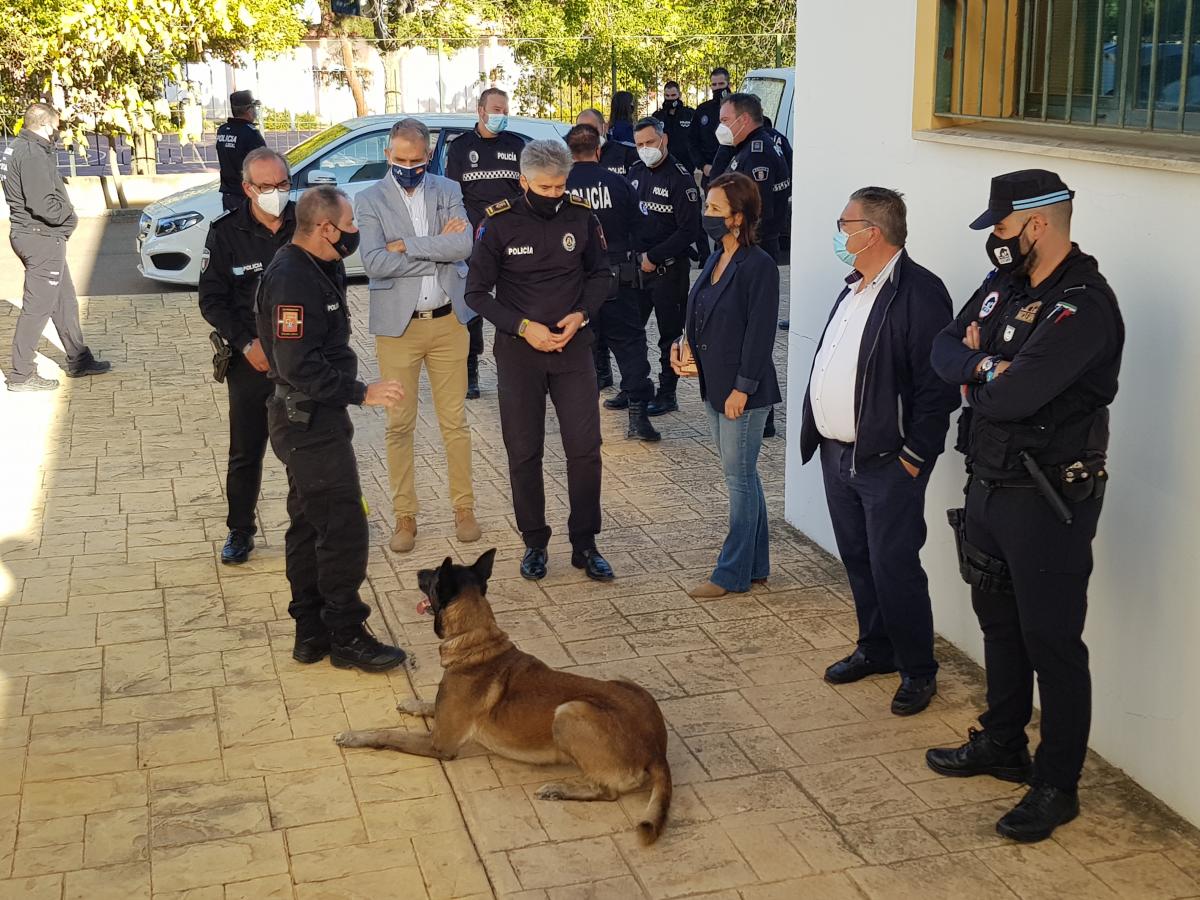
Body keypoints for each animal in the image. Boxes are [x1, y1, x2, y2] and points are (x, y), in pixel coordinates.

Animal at [336, 549, 676, 844]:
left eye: (432, 577)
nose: (418, 570)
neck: (475, 639)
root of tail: (657, 750)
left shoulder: (440, 744)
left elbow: (388, 733)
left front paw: (354, 736)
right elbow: (429, 703)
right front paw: (411, 703)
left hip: (570, 711)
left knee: (608, 792)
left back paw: (559, 788)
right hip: (627, 684)